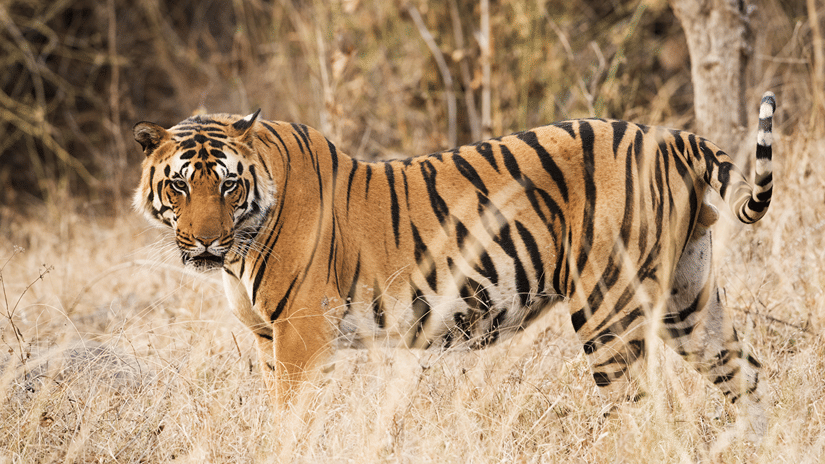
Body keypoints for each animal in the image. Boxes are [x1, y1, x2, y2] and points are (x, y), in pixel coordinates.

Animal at [133, 92, 775, 421]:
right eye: (180, 186)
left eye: (228, 185)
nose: (205, 242)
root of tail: (669, 137)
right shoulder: (270, 339)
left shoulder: (301, 334)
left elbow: (290, 423)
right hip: (689, 298)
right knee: (746, 375)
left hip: (607, 308)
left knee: (639, 412)